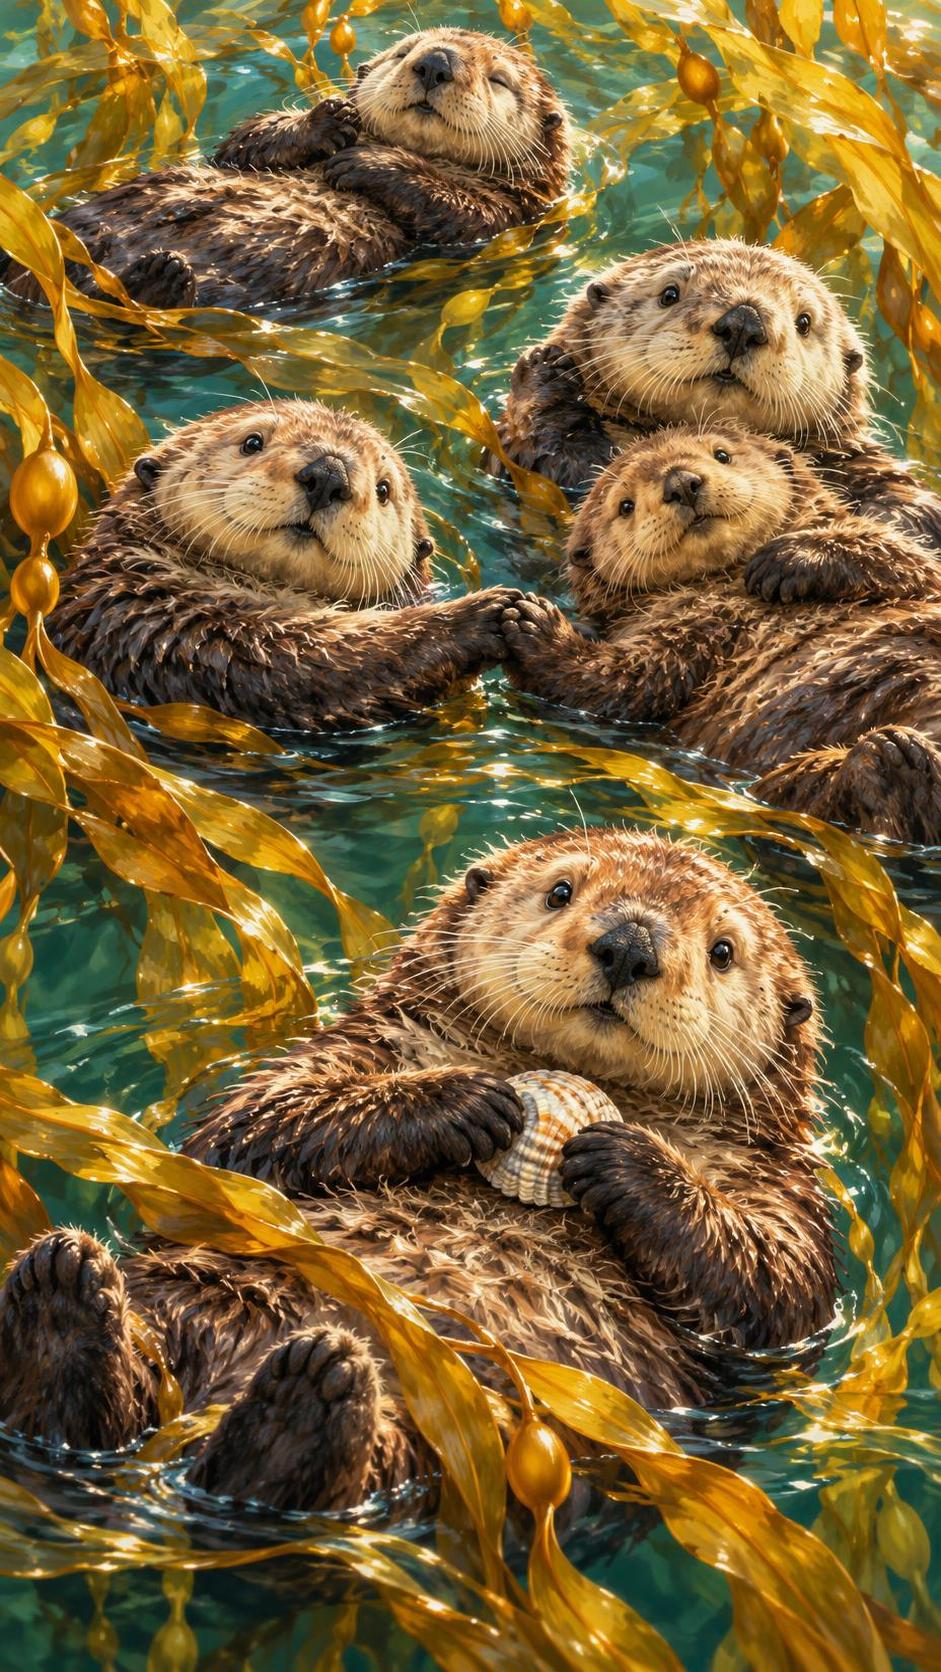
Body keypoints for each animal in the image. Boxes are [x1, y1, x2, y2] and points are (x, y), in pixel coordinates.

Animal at [0, 828, 833, 1513]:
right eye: (561, 891)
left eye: (722, 951)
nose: (628, 944)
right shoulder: (351, 1051)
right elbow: (255, 1123)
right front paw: (470, 1100)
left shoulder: (782, 1190)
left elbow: (775, 1287)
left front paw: (621, 1156)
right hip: (185, 1295)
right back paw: (64, 1304)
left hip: (473, 1440)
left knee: (325, 1477)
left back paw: (298, 1406)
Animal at [2, 30, 569, 311]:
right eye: (404, 52)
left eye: (497, 79)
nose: (435, 63)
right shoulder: (238, 147)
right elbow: (244, 143)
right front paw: (329, 121)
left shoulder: (507, 216)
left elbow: (456, 208)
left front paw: (367, 162)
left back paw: (159, 278)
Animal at [49, 399, 518, 732]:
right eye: (252, 442)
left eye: (384, 490)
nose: (328, 474)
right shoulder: (170, 628)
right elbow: (315, 659)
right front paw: (485, 613)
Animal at [502, 427, 941, 844]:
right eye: (625, 506)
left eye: (722, 455)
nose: (681, 483)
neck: (727, 581)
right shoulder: (678, 626)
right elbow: (625, 681)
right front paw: (528, 621)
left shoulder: (898, 558)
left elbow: (900, 557)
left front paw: (784, 560)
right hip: (790, 787)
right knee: (820, 793)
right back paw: (893, 761)